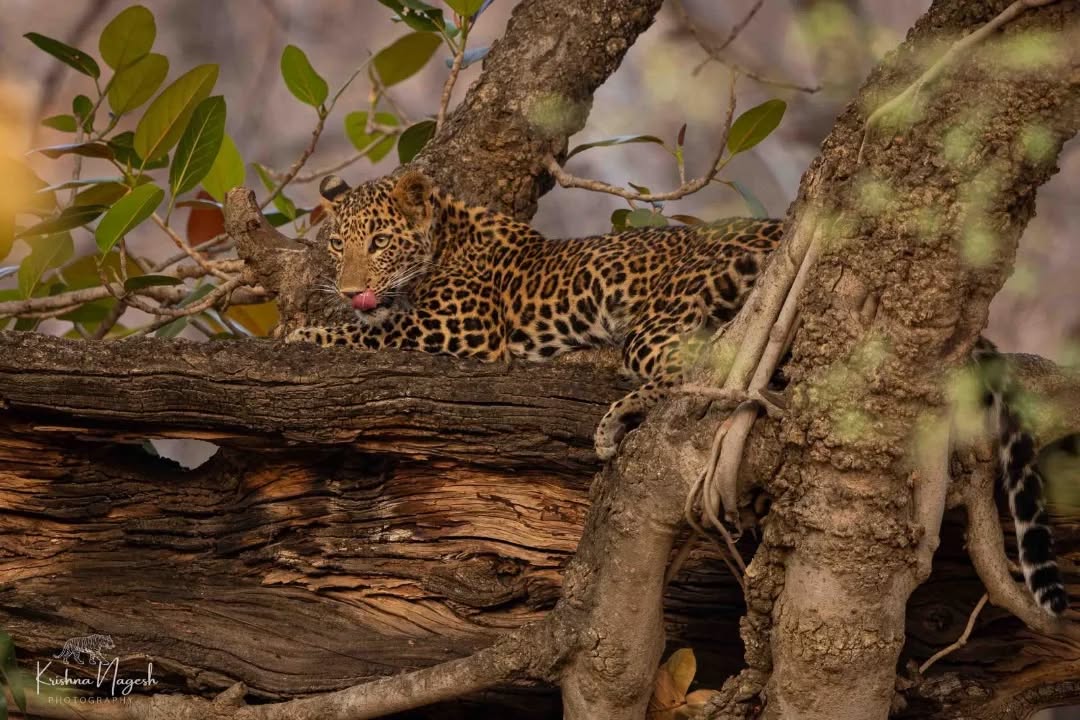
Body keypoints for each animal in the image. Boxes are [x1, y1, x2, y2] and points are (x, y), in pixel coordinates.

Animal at [286, 170, 1068, 616]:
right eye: (336, 246)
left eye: (380, 243)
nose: (351, 285)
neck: (447, 233)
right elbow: (368, 325)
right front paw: (319, 315)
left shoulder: (464, 331)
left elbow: (366, 333)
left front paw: (303, 329)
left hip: (673, 316)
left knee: (706, 374)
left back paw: (613, 413)